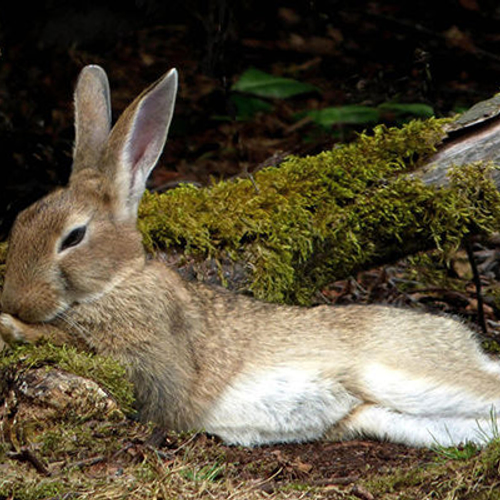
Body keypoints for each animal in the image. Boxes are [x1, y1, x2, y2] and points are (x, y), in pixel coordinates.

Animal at [0, 62, 500, 450]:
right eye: (20, 220)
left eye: (73, 237)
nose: (14, 300)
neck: (118, 282)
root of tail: (463, 342)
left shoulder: (154, 363)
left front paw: (13, 328)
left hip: (405, 373)